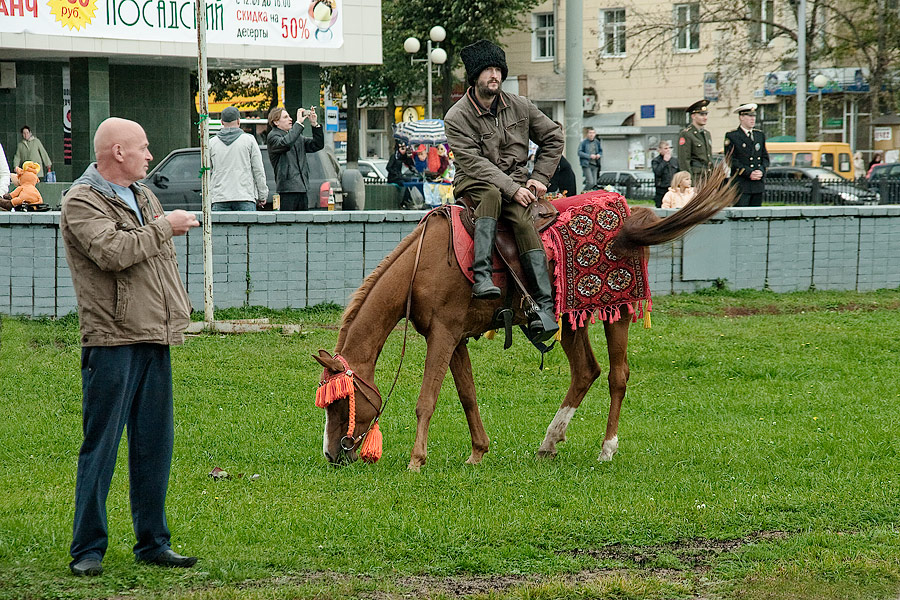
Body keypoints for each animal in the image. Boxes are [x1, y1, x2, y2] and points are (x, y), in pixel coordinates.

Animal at [312, 166, 736, 472]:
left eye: (341, 400)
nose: (333, 454)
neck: (424, 264)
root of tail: (631, 213)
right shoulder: (454, 337)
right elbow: (467, 395)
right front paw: (477, 452)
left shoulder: (443, 335)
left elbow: (427, 399)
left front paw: (417, 460)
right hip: (571, 320)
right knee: (586, 371)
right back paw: (549, 442)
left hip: (618, 312)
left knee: (617, 375)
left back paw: (607, 448)